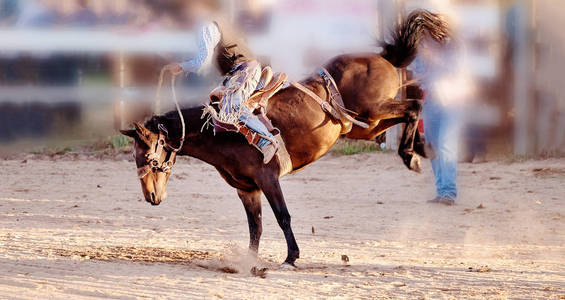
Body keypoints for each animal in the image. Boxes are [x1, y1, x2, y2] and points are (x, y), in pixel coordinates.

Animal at [121, 9, 448, 268]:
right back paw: (417, 151)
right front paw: (250, 260)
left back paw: (412, 154)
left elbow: (282, 216)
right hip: (365, 125)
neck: (217, 132)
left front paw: (291, 257)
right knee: (404, 116)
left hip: (374, 110)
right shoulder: (246, 189)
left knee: (414, 106)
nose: (151, 197)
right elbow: (256, 226)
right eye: (134, 158)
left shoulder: (268, 177)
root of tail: (383, 57)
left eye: (148, 156)